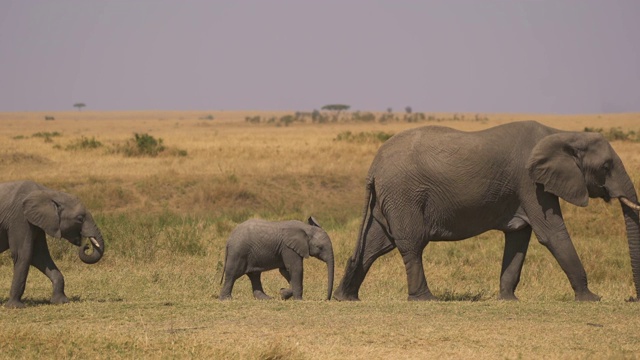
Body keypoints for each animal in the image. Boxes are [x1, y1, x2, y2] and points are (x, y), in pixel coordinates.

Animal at [332, 121, 640, 300]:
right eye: (606, 167)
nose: (633, 299)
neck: (562, 134)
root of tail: (373, 166)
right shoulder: (530, 183)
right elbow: (551, 232)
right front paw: (591, 298)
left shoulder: (522, 189)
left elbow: (519, 237)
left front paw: (508, 300)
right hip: (404, 195)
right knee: (411, 244)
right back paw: (424, 298)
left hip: (390, 197)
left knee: (375, 244)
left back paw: (345, 297)